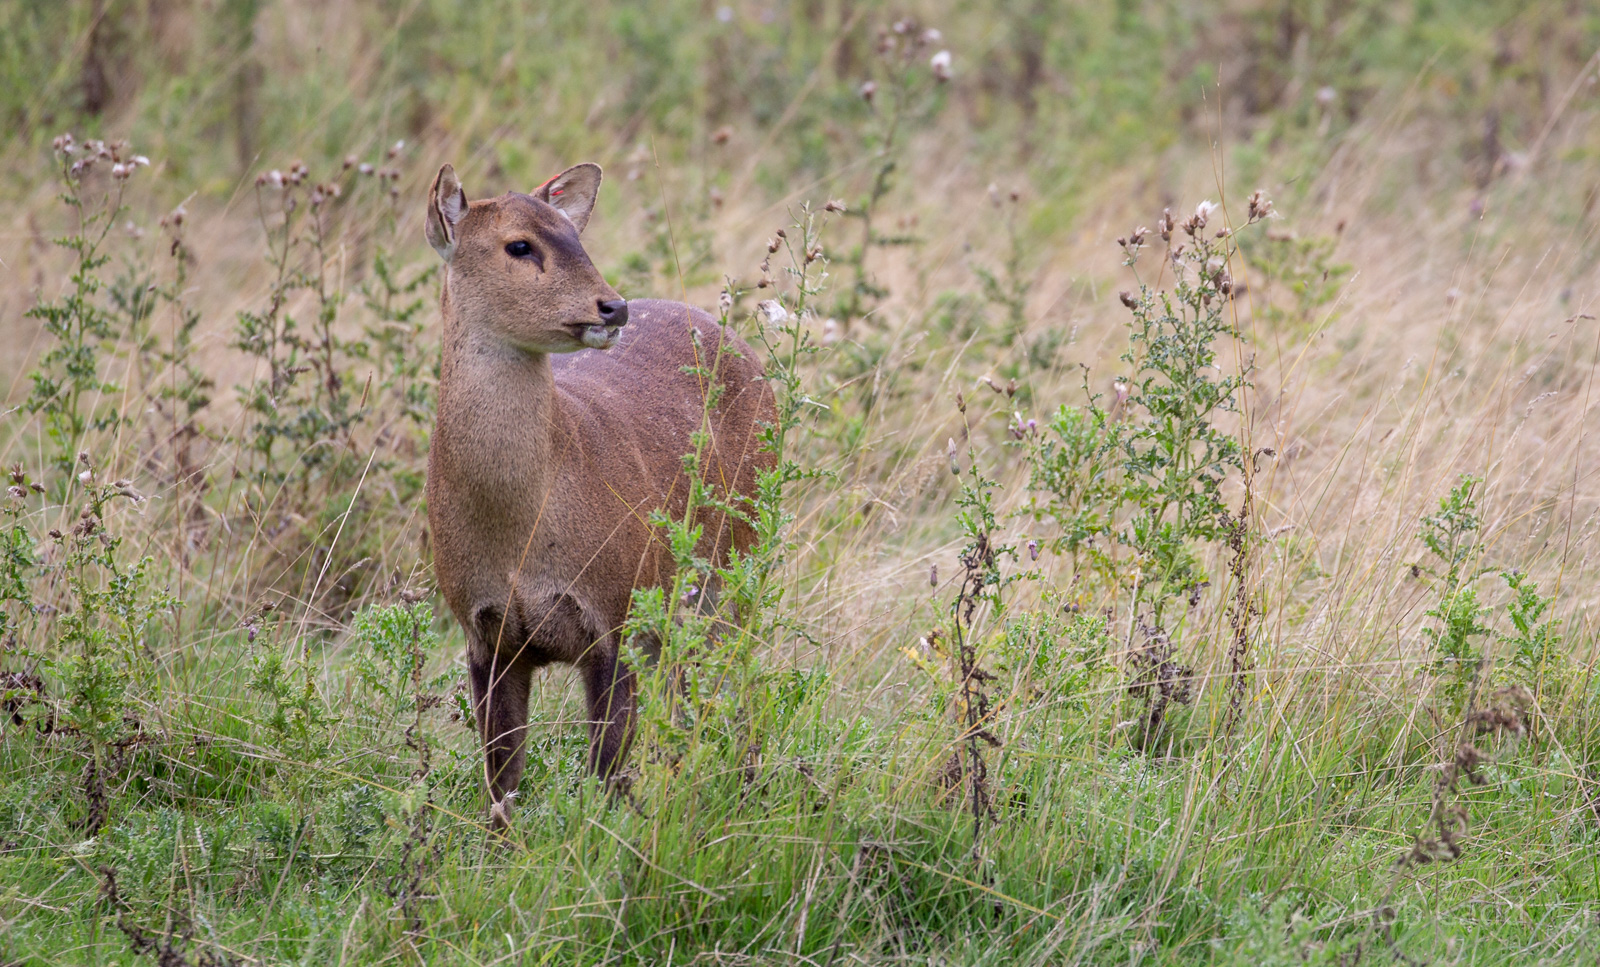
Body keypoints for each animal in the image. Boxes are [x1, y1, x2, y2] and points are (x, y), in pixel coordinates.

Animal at [423, 161, 774, 828]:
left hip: (735, 570)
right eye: (519, 244)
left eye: (574, 234)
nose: (613, 306)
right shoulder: (483, 635)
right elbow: (502, 784)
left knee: (737, 688)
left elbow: (606, 775)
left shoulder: (616, 612)